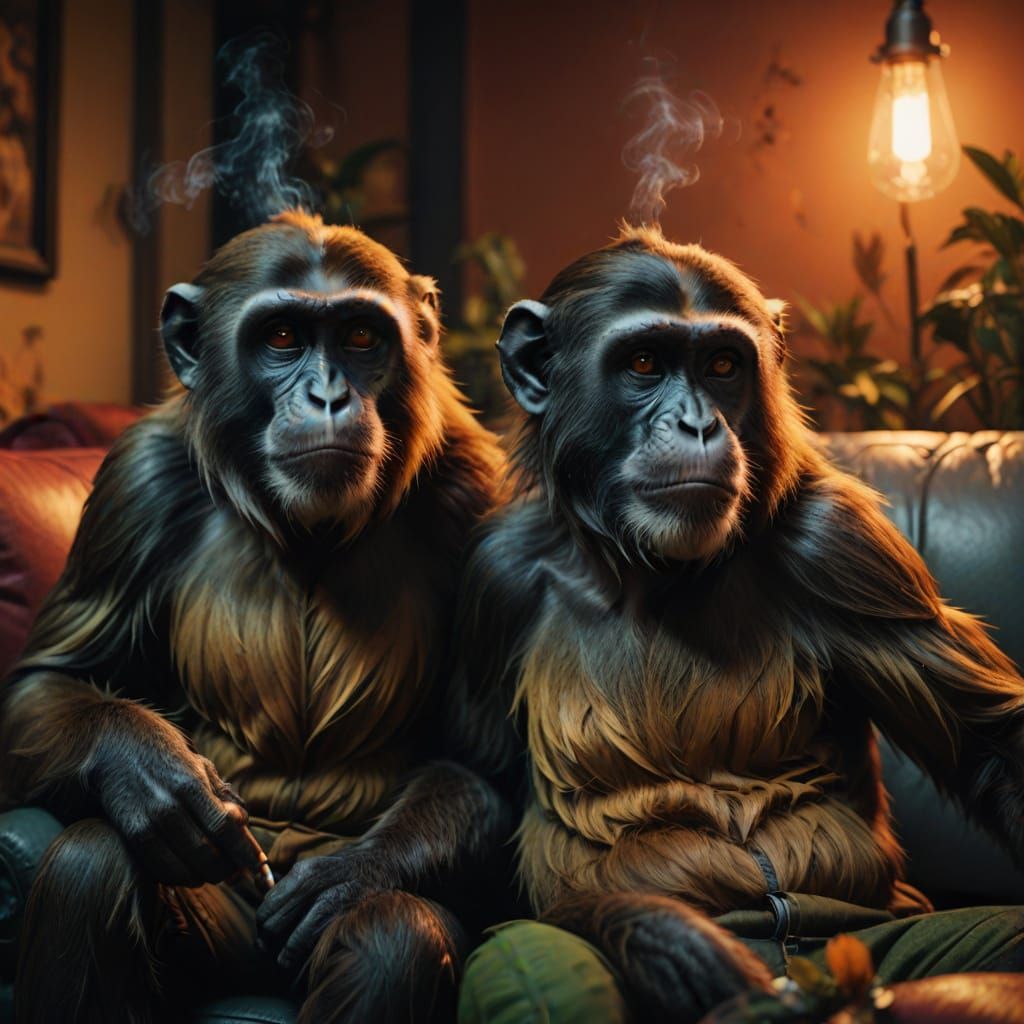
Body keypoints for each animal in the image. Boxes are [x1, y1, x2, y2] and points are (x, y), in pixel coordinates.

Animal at [0, 211, 511, 1024]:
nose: (329, 395)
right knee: (91, 862)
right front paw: (152, 776)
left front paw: (353, 874)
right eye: (282, 337)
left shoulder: (479, 497)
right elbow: (53, 678)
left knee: (396, 935)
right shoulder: (136, 482)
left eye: (360, 337)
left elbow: (481, 763)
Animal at [449, 225, 1024, 1024]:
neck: (653, 572)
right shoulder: (493, 573)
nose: (697, 422)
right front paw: (661, 936)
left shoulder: (845, 548)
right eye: (644, 362)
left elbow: (989, 744)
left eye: (723, 365)